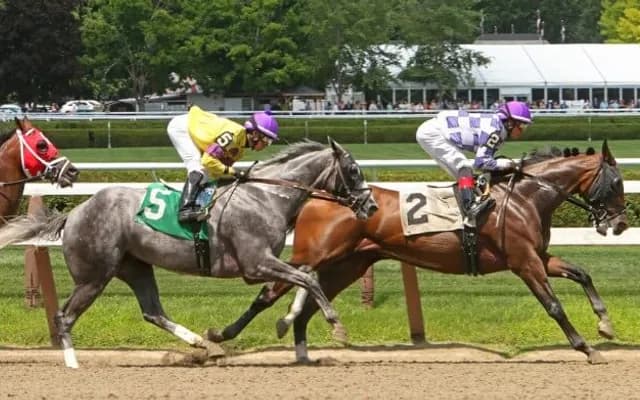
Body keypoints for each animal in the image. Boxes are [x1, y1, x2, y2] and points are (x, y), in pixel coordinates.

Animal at [0, 139, 378, 368]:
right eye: (353, 171)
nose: (371, 205)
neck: (266, 197)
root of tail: (75, 213)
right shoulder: (256, 263)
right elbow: (306, 279)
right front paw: (336, 325)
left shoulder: (264, 264)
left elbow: (305, 277)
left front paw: (284, 322)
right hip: (94, 276)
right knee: (64, 317)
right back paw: (72, 361)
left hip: (135, 266)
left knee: (153, 311)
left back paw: (201, 343)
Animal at [210, 141, 627, 364]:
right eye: (616, 182)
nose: (622, 223)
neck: (524, 197)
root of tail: (318, 195)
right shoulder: (524, 263)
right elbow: (554, 306)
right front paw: (586, 348)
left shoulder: (538, 257)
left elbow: (582, 272)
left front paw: (605, 323)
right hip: (315, 256)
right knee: (271, 292)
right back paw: (219, 336)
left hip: (349, 264)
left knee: (310, 299)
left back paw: (302, 346)